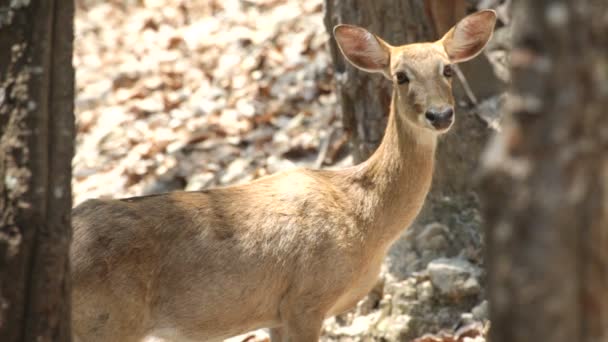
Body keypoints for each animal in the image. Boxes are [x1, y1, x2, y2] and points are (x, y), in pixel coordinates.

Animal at [71, 9, 496, 340]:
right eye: (400, 76)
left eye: (448, 70)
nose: (440, 115)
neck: (364, 218)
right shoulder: (305, 300)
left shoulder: (275, 313)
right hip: (105, 321)